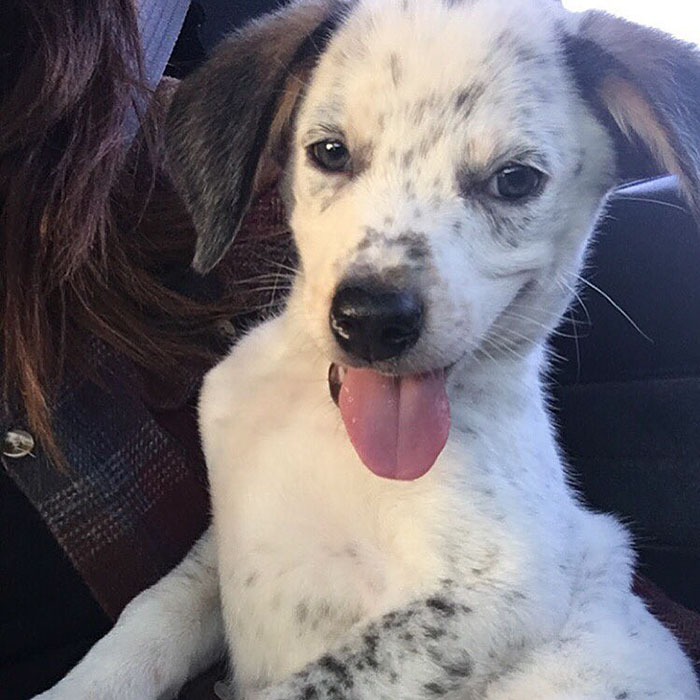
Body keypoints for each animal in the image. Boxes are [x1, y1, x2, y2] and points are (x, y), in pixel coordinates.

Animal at [37, 1, 700, 700]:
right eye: (330, 152)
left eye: (516, 180)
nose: (373, 320)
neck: (328, 427)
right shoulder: (218, 544)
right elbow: (146, 621)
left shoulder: (498, 592)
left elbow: (315, 682)